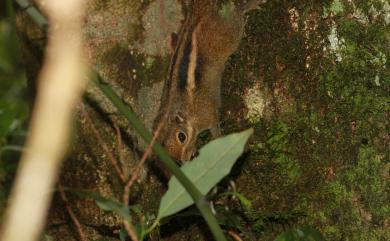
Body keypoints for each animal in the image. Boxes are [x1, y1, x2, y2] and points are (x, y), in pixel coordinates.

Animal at [152, 0, 262, 170]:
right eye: (171, 157)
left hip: (227, 34)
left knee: (236, 17)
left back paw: (247, 6)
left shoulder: (208, 113)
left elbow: (215, 125)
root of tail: (195, 15)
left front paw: (219, 138)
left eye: (181, 137)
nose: (185, 160)